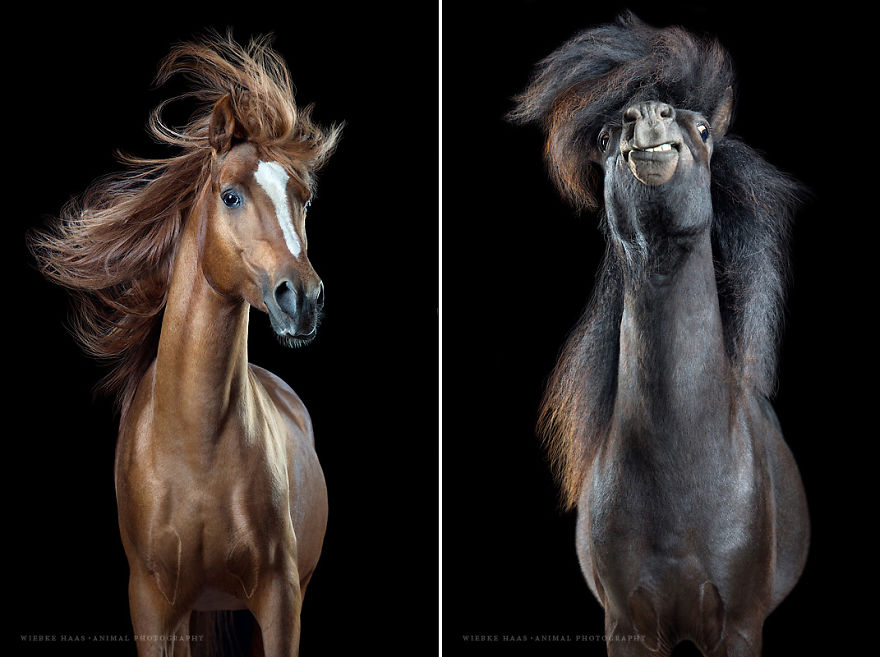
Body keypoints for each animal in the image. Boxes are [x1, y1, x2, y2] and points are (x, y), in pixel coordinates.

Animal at [29, 33, 340, 656]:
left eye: (304, 199)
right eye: (230, 196)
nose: (302, 299)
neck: (196, 448)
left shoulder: (281, 600)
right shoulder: (152, 606)